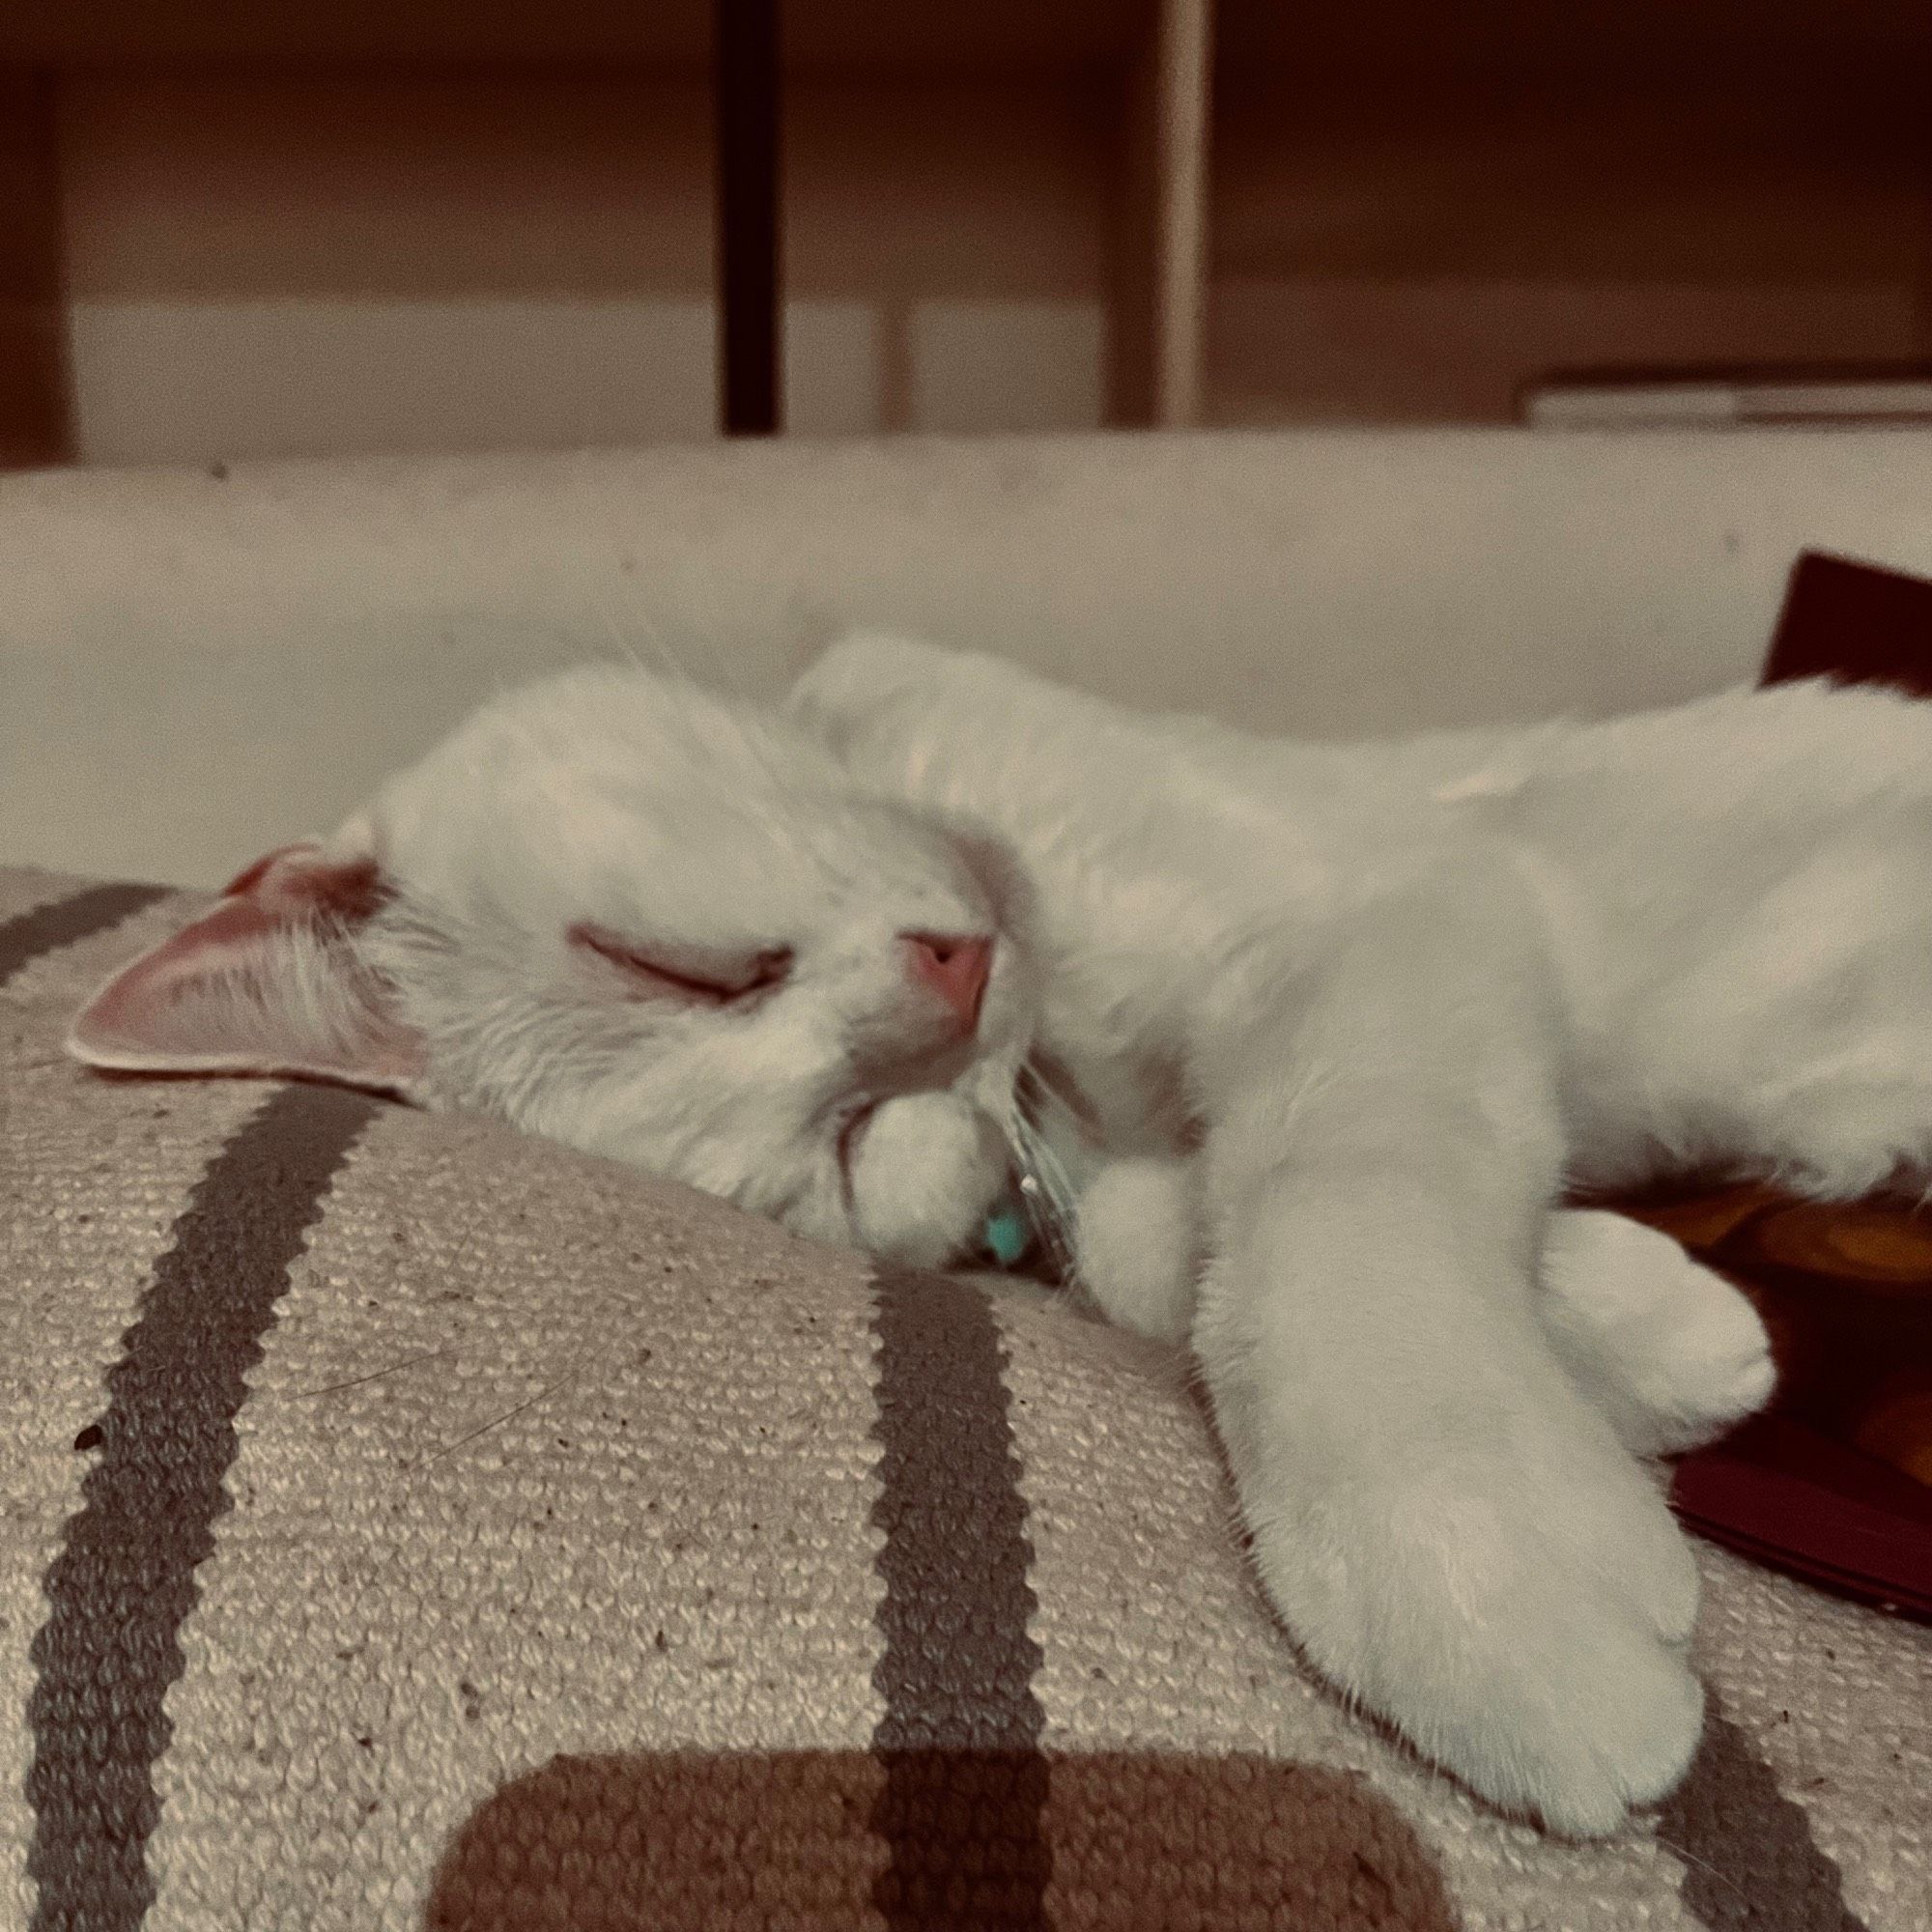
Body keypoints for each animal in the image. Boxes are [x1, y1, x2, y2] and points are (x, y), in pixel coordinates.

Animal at [83, 638, 1932, 1839]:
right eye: (839, 1141)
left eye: (669, 968)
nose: (953, 986)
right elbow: (1169, 1250)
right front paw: (1656, 1336)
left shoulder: (1387, 912)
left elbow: (1324, 1189)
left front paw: (1483, 1570)